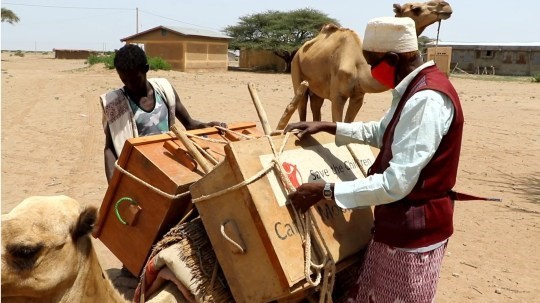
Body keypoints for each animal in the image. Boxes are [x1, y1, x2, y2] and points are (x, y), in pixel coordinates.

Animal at [292, 1, 452, 122]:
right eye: (416, 9)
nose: (445, 5)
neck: (360, 66)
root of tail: (298, 51)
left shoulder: (358, 97)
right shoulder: (337, 97)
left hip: (316, 87)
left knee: (316, 105)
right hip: (296, 69)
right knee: (302, 107)